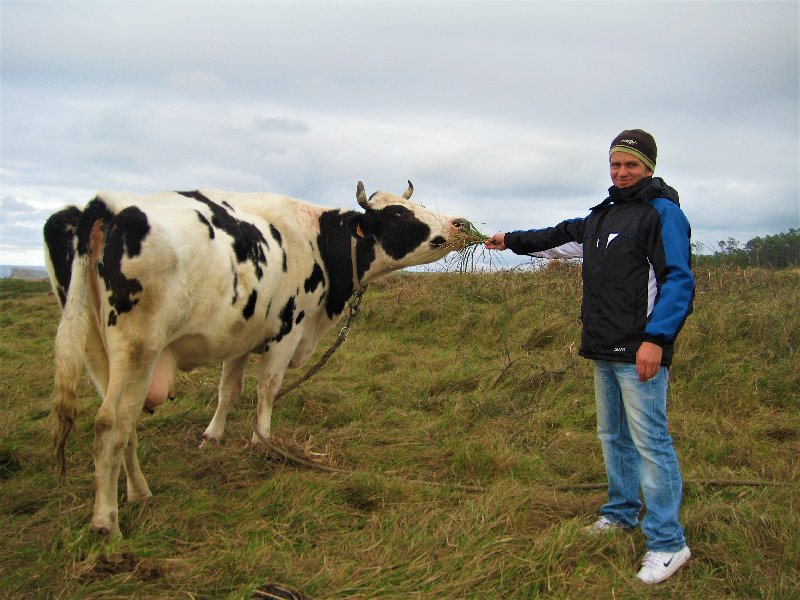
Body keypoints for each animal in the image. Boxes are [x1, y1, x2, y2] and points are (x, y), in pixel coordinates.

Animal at [43, 180, 468, 536]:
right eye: (397, 214)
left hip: (96, 348)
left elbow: (228, 390)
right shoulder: (287, 331)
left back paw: (140, 492)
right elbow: (267, 389)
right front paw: (263, 442)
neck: (317, 241)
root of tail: (106, 205)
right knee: (111, 424)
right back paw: (106, 522)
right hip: (137, 349)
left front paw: (212, 437)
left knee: (123, 425)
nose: (460, 223)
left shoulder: (241, 336)